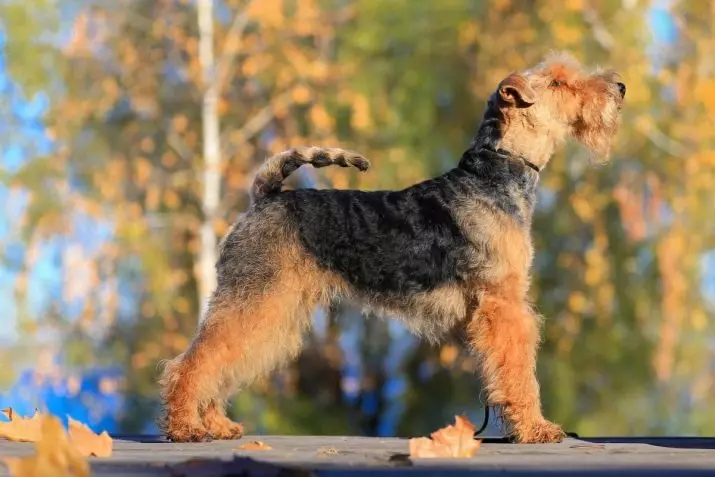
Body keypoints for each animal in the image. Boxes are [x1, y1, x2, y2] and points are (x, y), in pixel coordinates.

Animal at [161, 52, 628, 442]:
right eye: (558, 82)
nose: (620, 88)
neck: (494, 174)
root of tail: (265, 195)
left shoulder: (498, 304)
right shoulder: (503, 302)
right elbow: (519, 371)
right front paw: (536, 428)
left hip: (274, 310)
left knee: (225, 361)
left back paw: (217, 424)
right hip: (255, 298)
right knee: (193, 362)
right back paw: (186, 427)